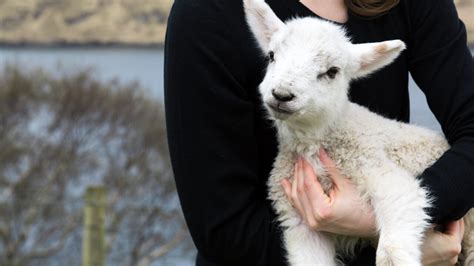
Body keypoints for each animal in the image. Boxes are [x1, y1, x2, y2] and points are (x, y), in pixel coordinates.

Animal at [243, 1, 472, 264]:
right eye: (272, 56)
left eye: (332, 71)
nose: (281, 95)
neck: (314, 141)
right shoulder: (299, 220)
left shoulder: (379, 170)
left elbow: (394, 241)